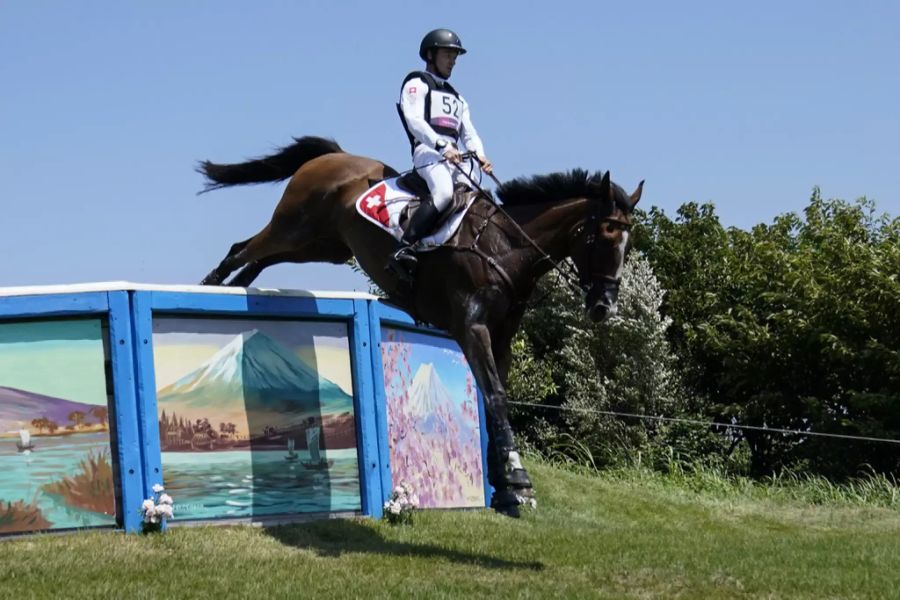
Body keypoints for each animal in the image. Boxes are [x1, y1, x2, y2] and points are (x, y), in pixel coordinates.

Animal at [200, 136, 644, 516]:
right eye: (605, 234)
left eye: (628, 242)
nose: (603, 307)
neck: (505, 246)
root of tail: (335, 157)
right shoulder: (471, 328)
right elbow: (496, 396)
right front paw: (518, 478)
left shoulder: (501, 338)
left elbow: (493, 399)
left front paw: (503, 486)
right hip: (294, 226)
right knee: (244, 248)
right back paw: (211, 284)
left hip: (321, 245)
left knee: (259, 259)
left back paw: (234, 286)